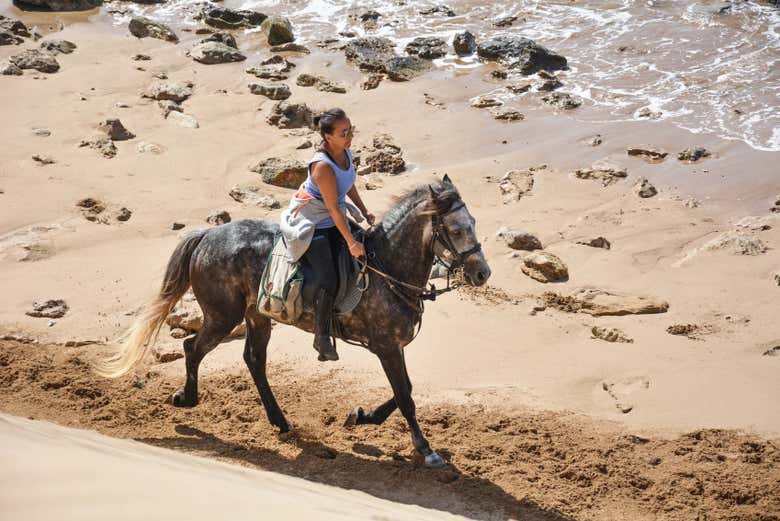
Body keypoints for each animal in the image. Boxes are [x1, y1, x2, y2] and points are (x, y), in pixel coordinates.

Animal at [96, 175, 488, 468]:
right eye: (455, 230)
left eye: (473, 224)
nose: (483, 273)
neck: (387, 267)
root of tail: (207, 235)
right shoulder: (386, 347)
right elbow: (405, 396)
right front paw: (427, 450)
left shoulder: (392, 347)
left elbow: (403, 390)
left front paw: (360, 416)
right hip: (223, 316)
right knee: (193, 346)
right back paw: (187, 398)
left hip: (256, 316)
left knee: (253, 361)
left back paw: (280, 422)